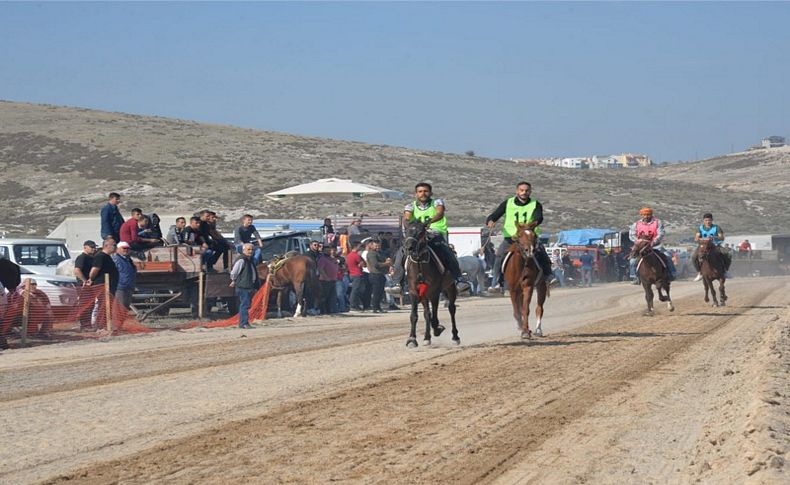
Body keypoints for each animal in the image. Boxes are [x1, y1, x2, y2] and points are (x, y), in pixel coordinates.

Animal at [406, 219, 460, 348]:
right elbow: (415, 315)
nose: (409, 247)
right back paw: (427, 336)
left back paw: (455, 336)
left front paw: (437, 328)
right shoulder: (414, 292)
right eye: (407, 231)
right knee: (427, 313)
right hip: (425, 295)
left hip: (450, 287)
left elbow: (434, 315)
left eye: (421, 232)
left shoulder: (434, 292)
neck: (420, 266)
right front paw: (412, 339)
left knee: (451, 309)